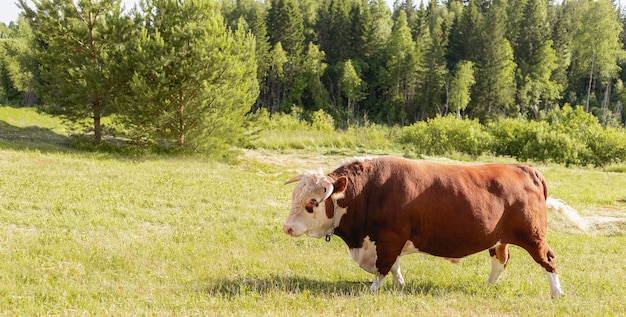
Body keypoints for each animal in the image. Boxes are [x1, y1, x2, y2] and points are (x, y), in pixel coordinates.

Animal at [282, 157, 584, 298]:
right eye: (294, 196)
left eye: (312, 202)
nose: (287, 227)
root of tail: (524, 168)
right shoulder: (387, 241)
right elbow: (394, 267)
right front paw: (400, 285)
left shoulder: (389, 238)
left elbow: (383, 267)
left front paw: (374, 290)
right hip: (500, 238)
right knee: (501, 259)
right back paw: (489, 285)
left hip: (533, 236)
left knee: (548, 259)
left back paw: (557, 293)